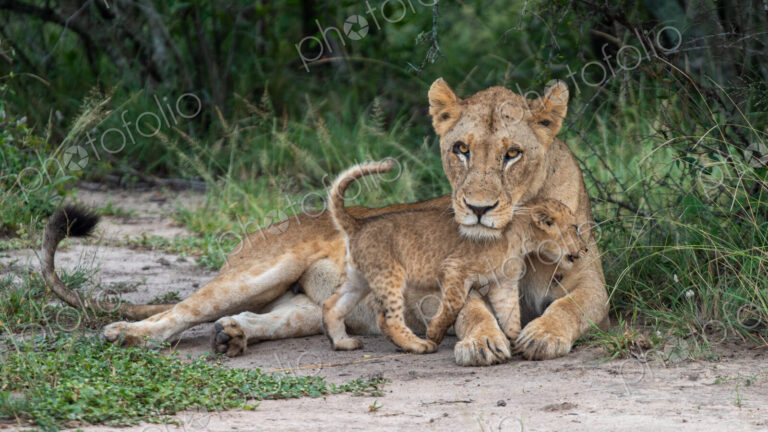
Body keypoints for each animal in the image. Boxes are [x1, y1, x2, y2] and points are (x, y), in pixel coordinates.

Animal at [322, 157, 588, 354]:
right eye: (575, 228)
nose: (585, 249)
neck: (520, 238)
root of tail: (358, 224)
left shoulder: (503, 283)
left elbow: (511, 314)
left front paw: (515, 339)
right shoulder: (454, 269)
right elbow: (453, 306)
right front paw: (435, 332)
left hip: (359, 278)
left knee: (331, 304)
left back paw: (343, 342)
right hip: (390, 274)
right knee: (387, 320)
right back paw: (419, 345)